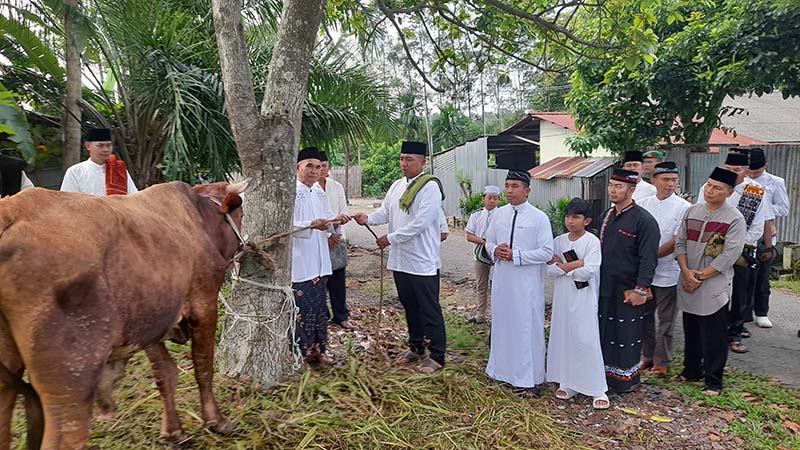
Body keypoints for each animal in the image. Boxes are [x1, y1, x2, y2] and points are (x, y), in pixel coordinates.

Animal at [0, 181, 247, 448]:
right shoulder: (205, 305)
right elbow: (203, 368)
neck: (199, 216)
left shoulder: (151, 321)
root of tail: (12, 211)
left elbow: (165, 374)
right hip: (72, 381)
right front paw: (216, 421)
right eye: (242, 215)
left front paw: (173, 431)